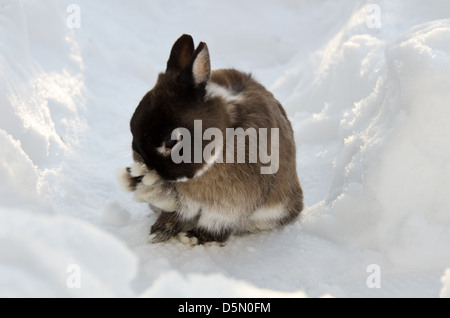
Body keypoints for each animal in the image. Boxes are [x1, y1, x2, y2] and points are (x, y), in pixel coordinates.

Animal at [118, 34, 304, 243]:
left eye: (171, 142)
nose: (146, 166)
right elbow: (174, 212)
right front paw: (158, 232)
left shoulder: (229, 206)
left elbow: (214, 223)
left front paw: (192, 238)